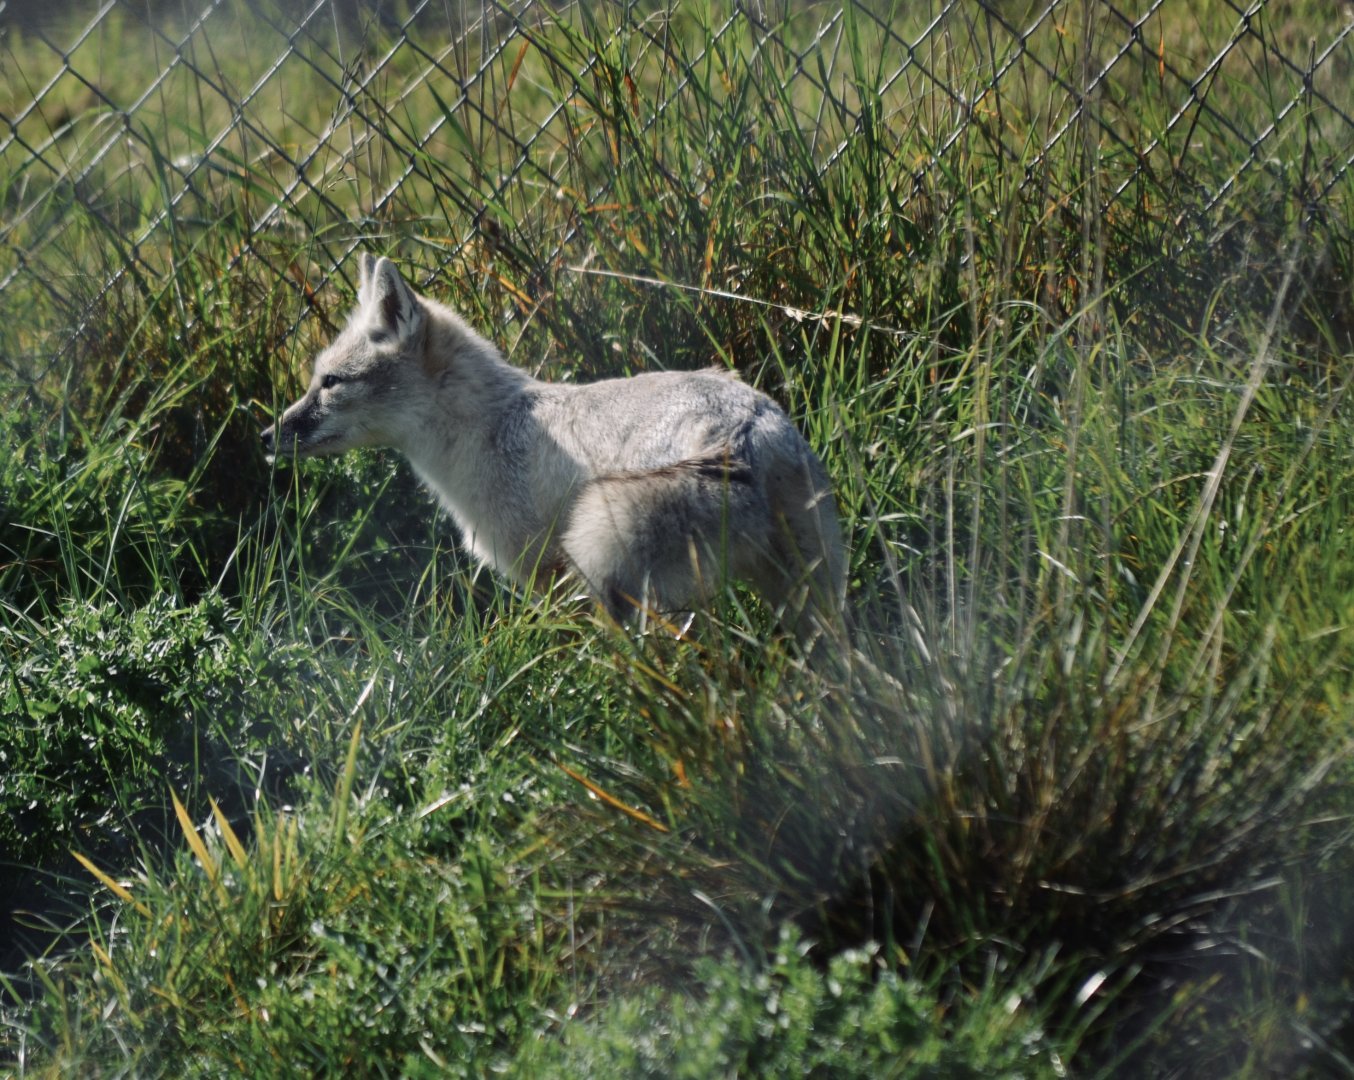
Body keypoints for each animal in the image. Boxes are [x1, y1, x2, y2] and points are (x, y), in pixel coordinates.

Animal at [261, 255, 846, 647]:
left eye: (330, 383)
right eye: (315, 381)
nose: (266, 437)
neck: (491, 424)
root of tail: (744, 427)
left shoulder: (543, 572)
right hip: (803, 593)